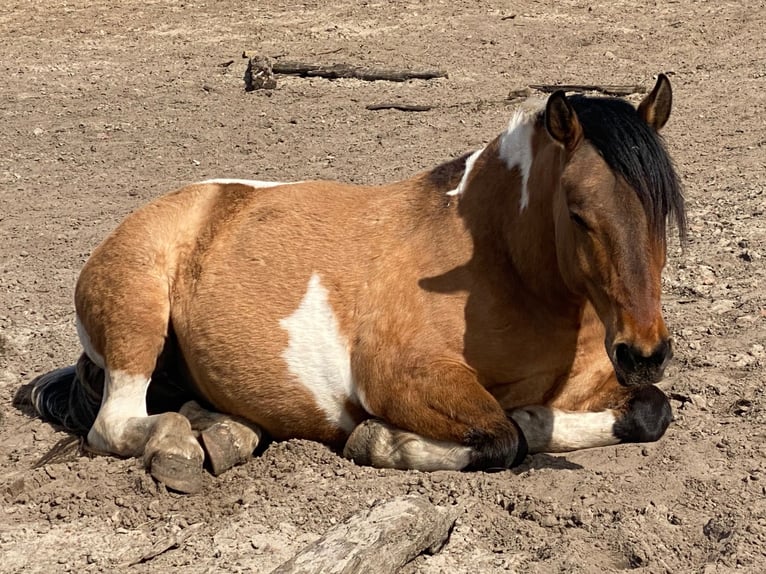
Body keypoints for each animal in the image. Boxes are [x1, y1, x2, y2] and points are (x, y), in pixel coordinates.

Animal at [22, 75, 685, 493]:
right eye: (578, 213)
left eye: (663, 208)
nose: (644, 352)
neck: (507, 272)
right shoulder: (403, 379)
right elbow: (502, 436)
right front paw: (381, 443)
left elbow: (651, 412)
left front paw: (540, 416)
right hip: (138, 320)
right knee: (115, 424)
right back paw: (180, 443)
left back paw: (221, 433)